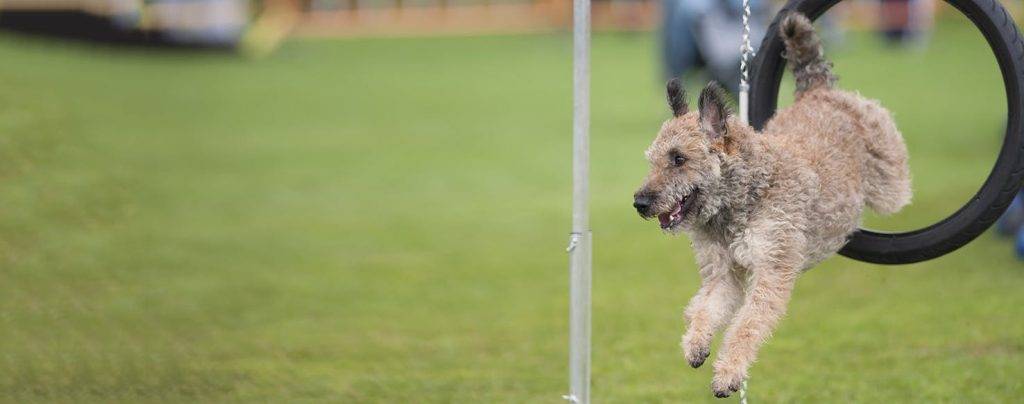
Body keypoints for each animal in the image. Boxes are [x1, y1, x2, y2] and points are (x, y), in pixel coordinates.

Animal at [630, 13, 913, 398]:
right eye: (652, 161)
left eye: (678, 159)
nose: (640, 202)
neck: (741, 199)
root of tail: (816, 90)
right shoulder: (725, 274)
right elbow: (707, 308)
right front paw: (695, 343)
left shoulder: (771, 272)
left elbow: (746, 327)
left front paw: (728, 373)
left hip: (889, 185)